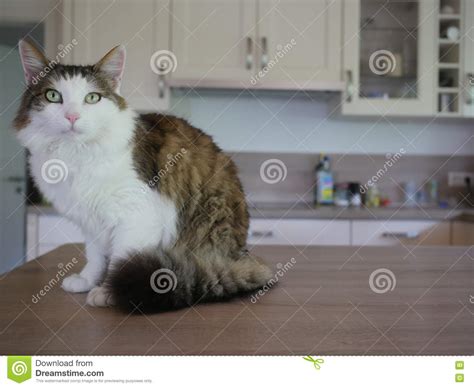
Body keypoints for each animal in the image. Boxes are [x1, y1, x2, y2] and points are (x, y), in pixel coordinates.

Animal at [13, 40, 270, 312]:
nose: (72, 116)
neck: (76, 155)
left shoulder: (136, 217)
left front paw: (108, 291)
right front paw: (87, 280)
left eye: (92, 98)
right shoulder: (91, 221)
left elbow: (120, 259)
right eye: (53, 96)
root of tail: (240, 254)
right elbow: (95, 256)